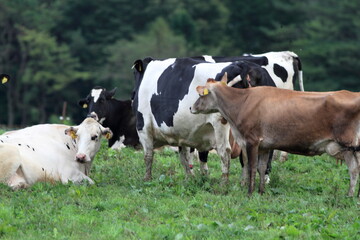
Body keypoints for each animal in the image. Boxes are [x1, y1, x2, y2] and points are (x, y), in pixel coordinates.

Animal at [190, 74, 360, 198]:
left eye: (201, 95)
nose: (191, 107)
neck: (242, 103)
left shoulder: (251, 141)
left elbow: (251, 167)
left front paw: (250, 193)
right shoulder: (265, 146)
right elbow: (261, 168)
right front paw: (261, 192)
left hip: (352, 145)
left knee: (355, 168)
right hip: (347, 149)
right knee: (353, 170)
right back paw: (350, 195)